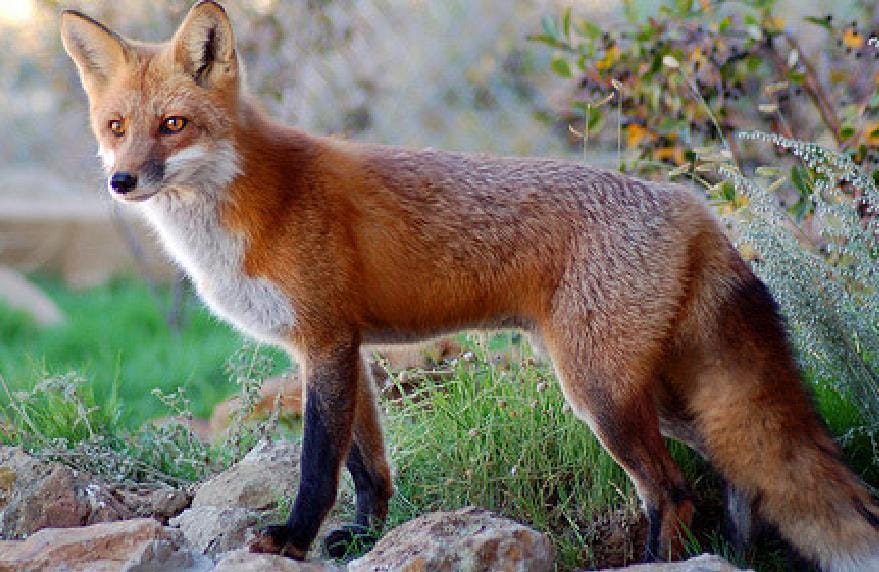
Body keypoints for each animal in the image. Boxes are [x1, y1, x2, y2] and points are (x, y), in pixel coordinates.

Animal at [60, 2, 879, 569]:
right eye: (115, 126)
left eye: (173, 124)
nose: (121, 181)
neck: (254, 203)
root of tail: (694, 207)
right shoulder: (344, 349)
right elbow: (368, 467)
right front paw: (363, 538)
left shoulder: (325, 342)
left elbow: (318, 462)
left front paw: (292, 538)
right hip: (656, 395)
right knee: (741, 474)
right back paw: (735, 555)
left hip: (600, 394)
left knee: (672, 490)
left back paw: (661, 560)